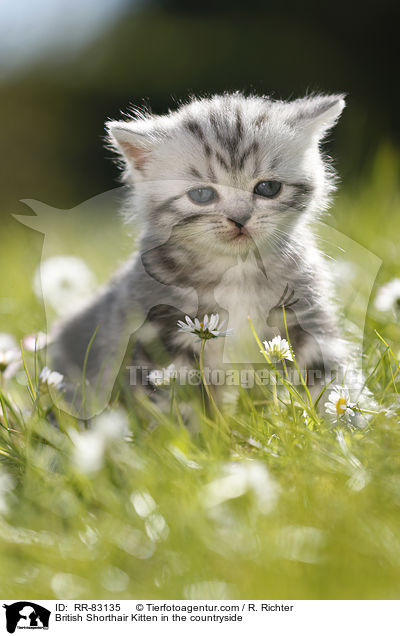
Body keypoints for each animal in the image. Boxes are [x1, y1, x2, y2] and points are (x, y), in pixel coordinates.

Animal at [50, 90, 350, 418]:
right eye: (202, 195)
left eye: (268, 188)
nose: (240, 219)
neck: (236, 270)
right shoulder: (160, 336)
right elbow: (180, 405)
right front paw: (198, 431)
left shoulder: (307, 316)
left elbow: (333, 380)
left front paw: (349, 426)